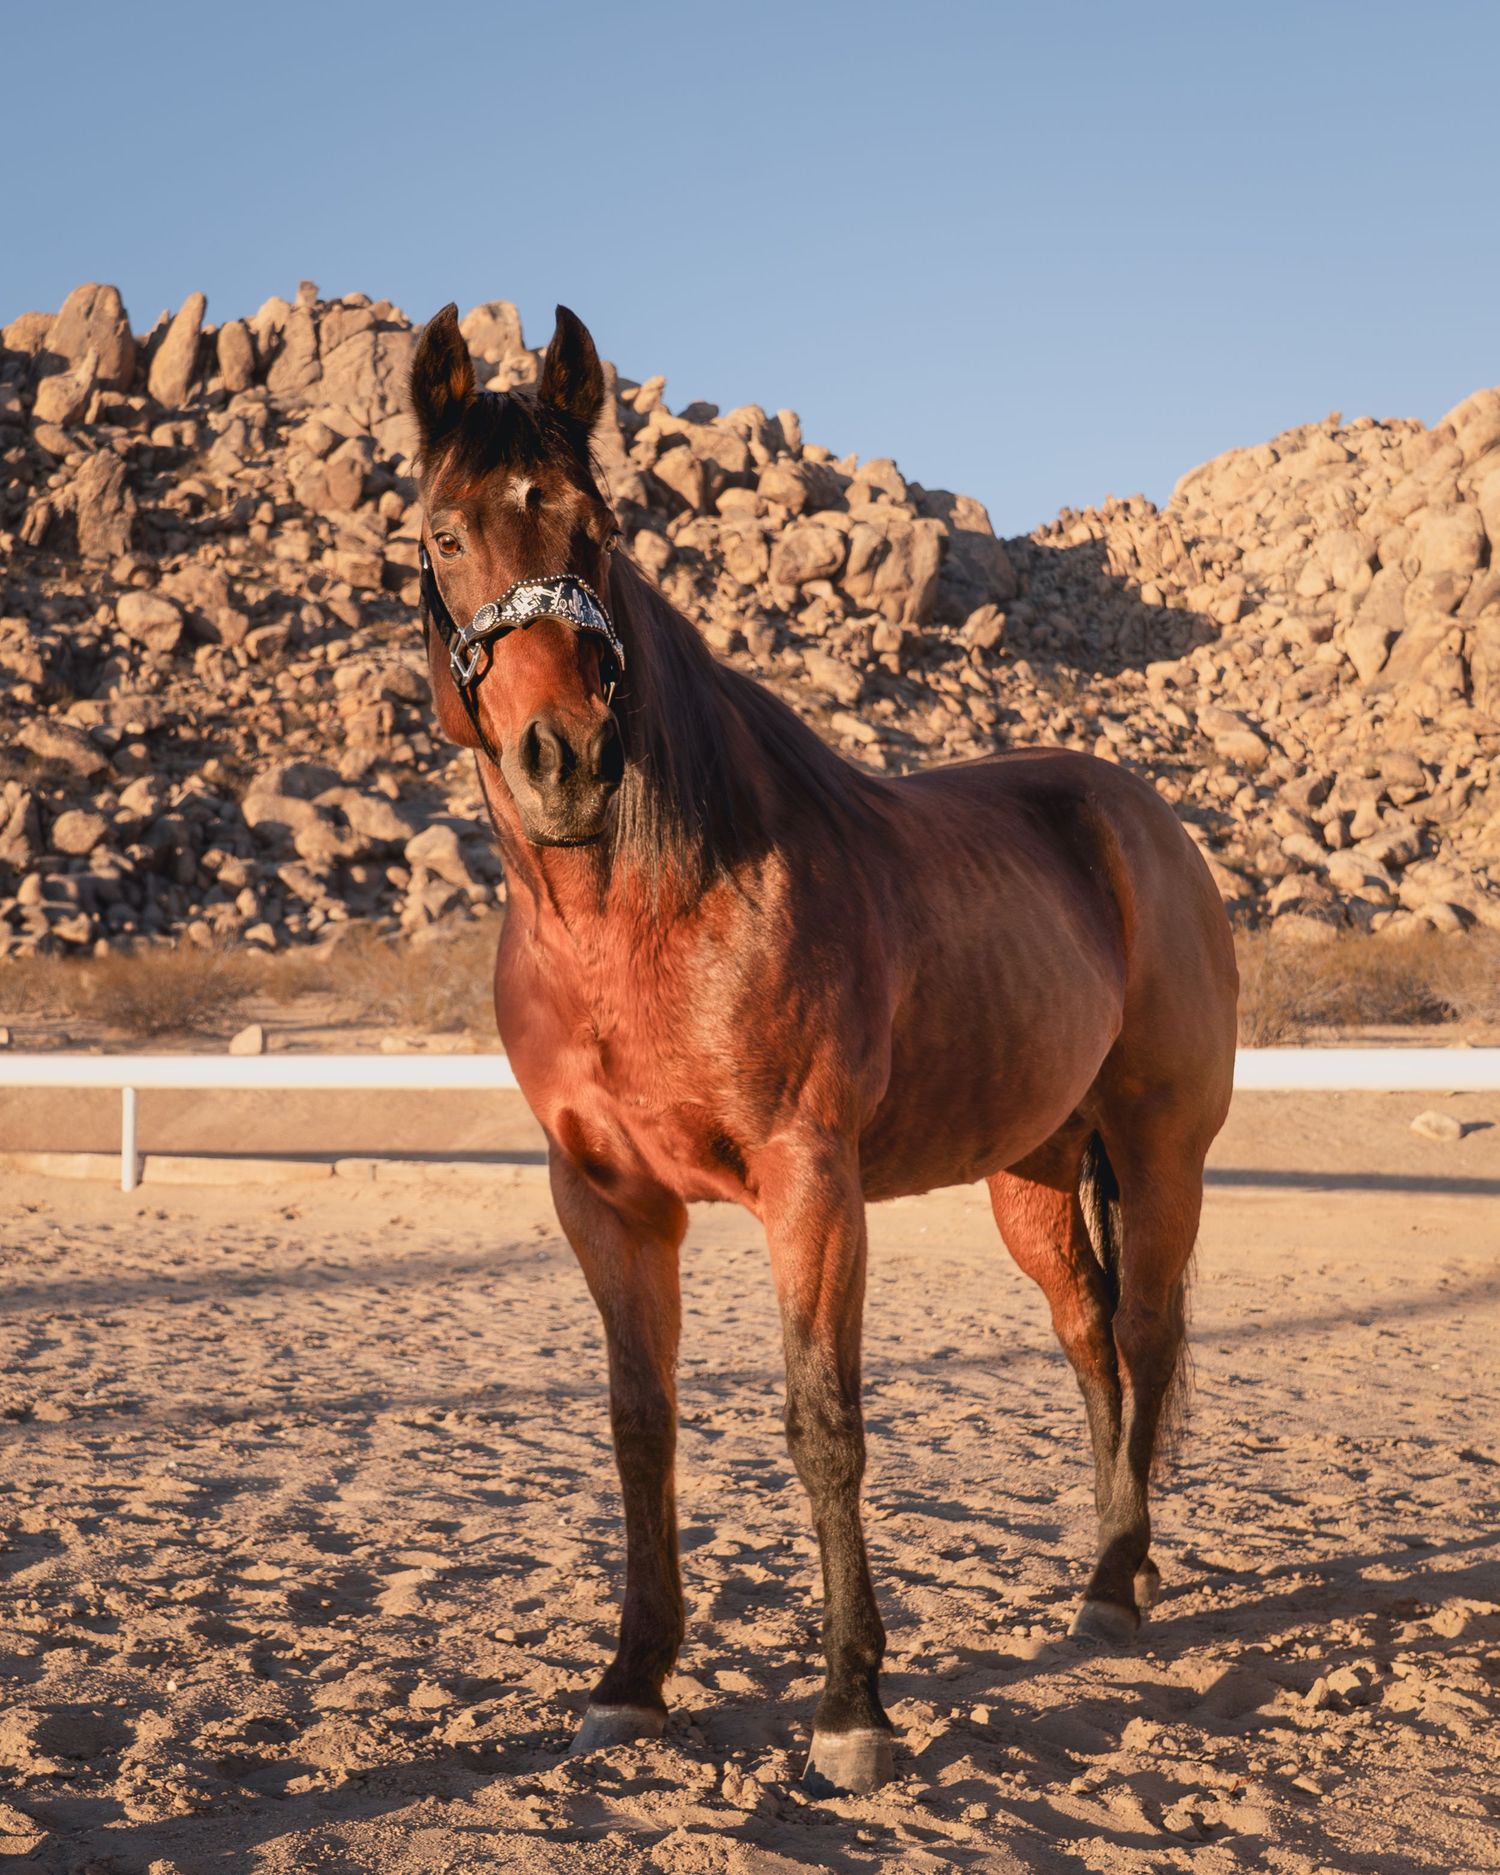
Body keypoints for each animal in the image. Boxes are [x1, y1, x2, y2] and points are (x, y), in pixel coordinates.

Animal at [406, 302, 1238, 1795]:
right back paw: (1109, 1572)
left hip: (1160, 1151)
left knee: (1144, 1337)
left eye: (593, 528)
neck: (651, 912)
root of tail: (1141, 819)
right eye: (444, 535)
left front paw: (853, 1705)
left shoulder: (811, 1182)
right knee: (1090, 1343)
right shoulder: (607, 1202)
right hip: (1033, 1171)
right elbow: (639, 1427)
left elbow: (822, 1423)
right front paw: (631, 1681)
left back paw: (1120, 1583)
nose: (566, 759)